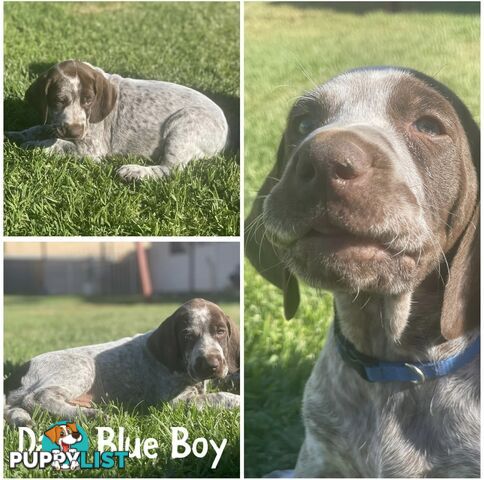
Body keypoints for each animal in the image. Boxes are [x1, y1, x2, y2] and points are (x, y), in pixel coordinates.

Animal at [3, 298, 238, 426]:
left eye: (220, 332)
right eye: (187, 336)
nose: (211, 365)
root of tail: (15, 376)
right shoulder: (175, 401)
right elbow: (219, 396)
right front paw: (236, 401)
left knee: (15, 408)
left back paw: (22, 420)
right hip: (81, 369)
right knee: (37, 398)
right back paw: (90, 415)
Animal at [5, 59, 229, 180]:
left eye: (89, 100)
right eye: (59, 100)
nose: (75, 132)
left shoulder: (91, 148)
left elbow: (57, 144)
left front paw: (33, 145)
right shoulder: (55, 123)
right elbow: (36, 128)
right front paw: (14, 134)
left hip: (182, 126)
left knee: (170, 170)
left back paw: (135, 172)